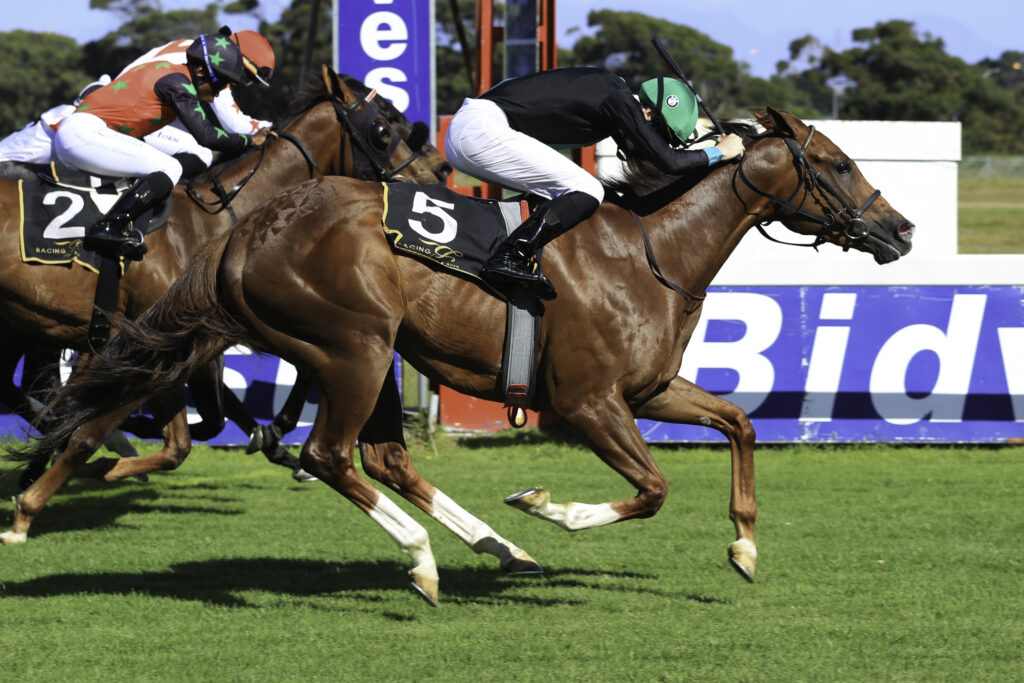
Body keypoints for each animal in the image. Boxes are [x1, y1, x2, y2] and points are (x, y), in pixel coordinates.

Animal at [0, 66, 443, 487]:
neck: (216, 221)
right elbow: (204, 415)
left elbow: (219, 412)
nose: (432, 179)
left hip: (25, 322)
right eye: (384, 128)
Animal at [3, 108, 914, 606]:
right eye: (835, 163)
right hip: (354, 346)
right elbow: (652, 489)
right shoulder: (587, 402)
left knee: (377, 455)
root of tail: (249, 229)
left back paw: (490, 546)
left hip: (364, 354)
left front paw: (745, 546)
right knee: (330, 454)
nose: (899, 227)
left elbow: (740, 425)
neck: (654, 251)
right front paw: (549, 505)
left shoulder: (651, 387)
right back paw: (425, 559)